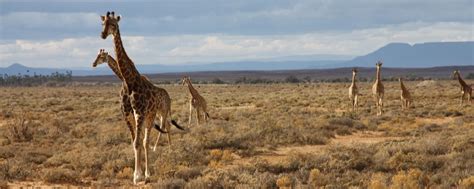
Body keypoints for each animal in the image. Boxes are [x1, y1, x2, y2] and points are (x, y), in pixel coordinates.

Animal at [100, 11, 183, 185]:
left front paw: (138, 176)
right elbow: (134, 142)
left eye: (114, 24)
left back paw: (148, 173)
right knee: (145, 139)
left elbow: (139, 142)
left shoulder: (140, 113)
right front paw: (135, 174)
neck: (129, 81)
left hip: (151, 115)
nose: (103, 35)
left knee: (147, 140)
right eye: (103, 23)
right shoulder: (127, 114)